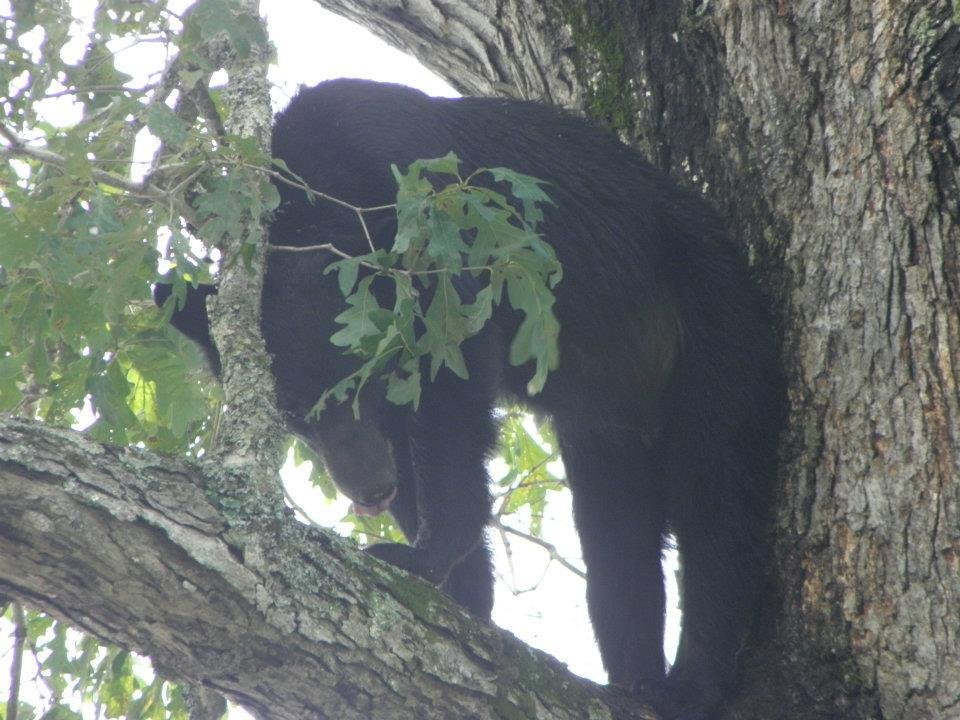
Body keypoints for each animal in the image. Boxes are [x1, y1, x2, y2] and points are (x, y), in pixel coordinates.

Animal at [158, 79, 784, 720]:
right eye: (292, 416)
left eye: (367, 382)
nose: (369, 490)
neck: (320, 195)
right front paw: (465, 593)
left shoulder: (434, 235)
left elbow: (452, 398)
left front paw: (424, 557)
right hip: (606, 417)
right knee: (616, 526)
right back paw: (633, 679)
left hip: (717, 326)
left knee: (715, 498)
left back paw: (691, 685)